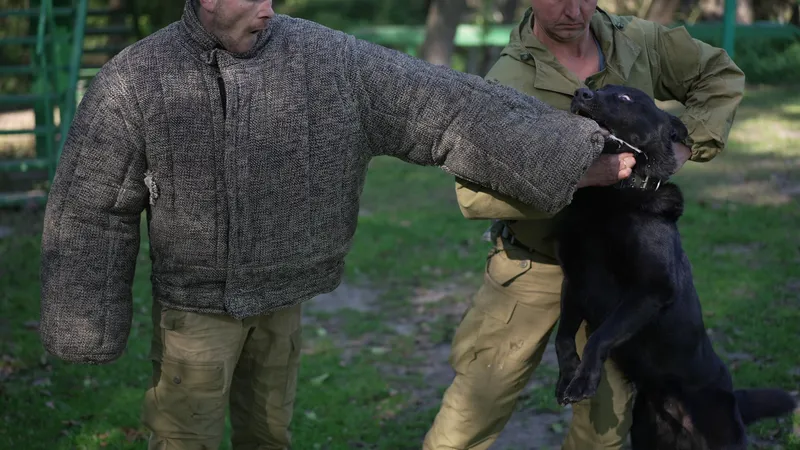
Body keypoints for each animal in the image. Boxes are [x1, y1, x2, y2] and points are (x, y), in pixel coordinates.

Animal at [552, 85, 796, 450]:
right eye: (599, 87)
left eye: (624, 98)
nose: (581, 91)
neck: (614, 193)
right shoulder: (576, 281)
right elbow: (563, 336)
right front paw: (568, 376)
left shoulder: (652, 289)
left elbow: (599, 334)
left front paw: (583, 380)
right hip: (646, 433)